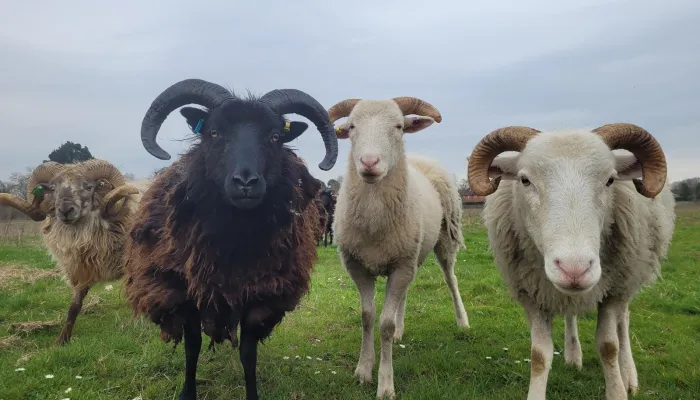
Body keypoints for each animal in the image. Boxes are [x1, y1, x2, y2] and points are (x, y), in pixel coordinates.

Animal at [0, 159, 143, 345]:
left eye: (89, 187)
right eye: (52, 188)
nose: (65, 210)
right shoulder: (81, 268)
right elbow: (74, 306)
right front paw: (62, 340)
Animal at [123, 78, 339, 400]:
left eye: (276, 136)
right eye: (214, 132)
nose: (246, 182)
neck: (234, 246)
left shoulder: (259, 297)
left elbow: (248, 356)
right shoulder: (186, 294)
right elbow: (192, 349)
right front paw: (187, 393)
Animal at [327, 97, 470, 399]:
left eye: (398, 127)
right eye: (351, 126)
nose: (369, 162)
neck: (374, 221)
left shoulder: (400, 266)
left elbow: (385, 323)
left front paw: (385, 384)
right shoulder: (359, 267)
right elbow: (367, 317)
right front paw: (363, 371)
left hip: (441, 241)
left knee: (451, 279)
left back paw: (462, 321)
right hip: (412, 254)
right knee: (405, 293)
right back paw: (400, 333)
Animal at [467, 123, 676, 400]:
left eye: (610, 180)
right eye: (525, 180)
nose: (573, 269)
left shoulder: (612, 290)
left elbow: (609, 346)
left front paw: (617, 390)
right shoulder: (533, 294)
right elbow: (539, 355)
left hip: (630, 275)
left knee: (624, 321)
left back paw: (629, 375)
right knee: (571, 314)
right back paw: (573, 354)